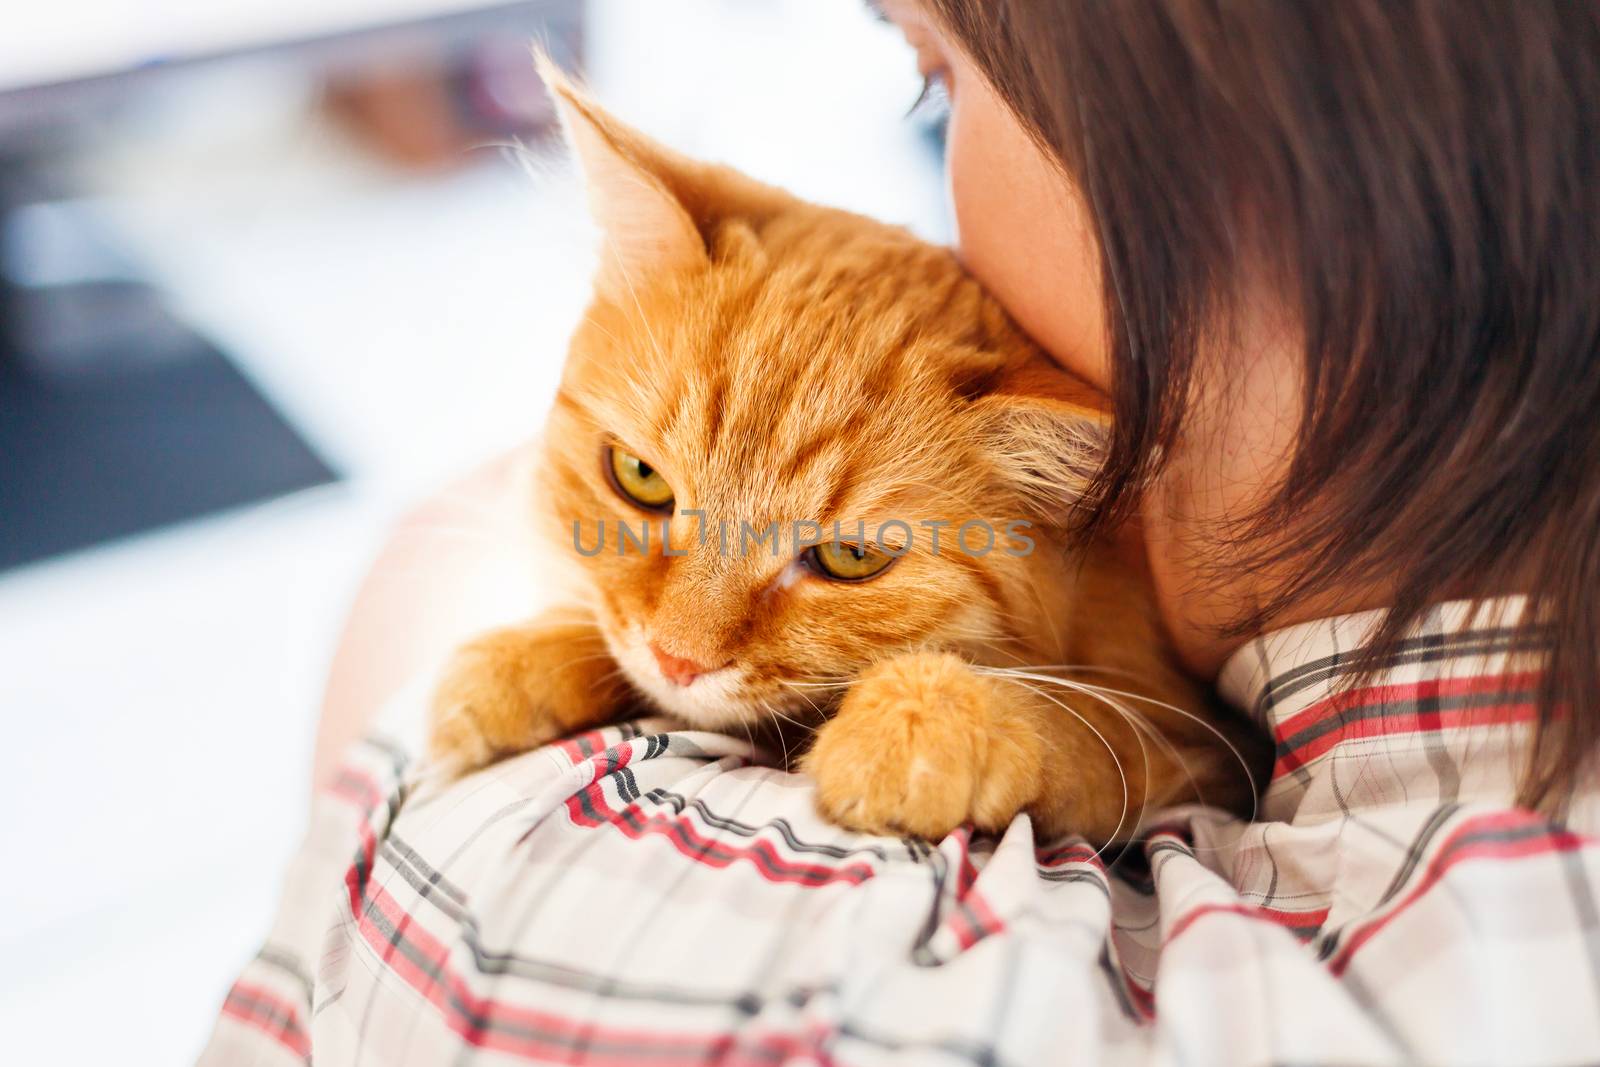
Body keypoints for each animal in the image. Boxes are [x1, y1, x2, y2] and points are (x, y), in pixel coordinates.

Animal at [428, 62, 1260, 844]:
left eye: (850, 558)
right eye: (639, 479)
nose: (679, 660)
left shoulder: (1203, 742)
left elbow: (1093, 724)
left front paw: (927, 717)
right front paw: (524, 661)